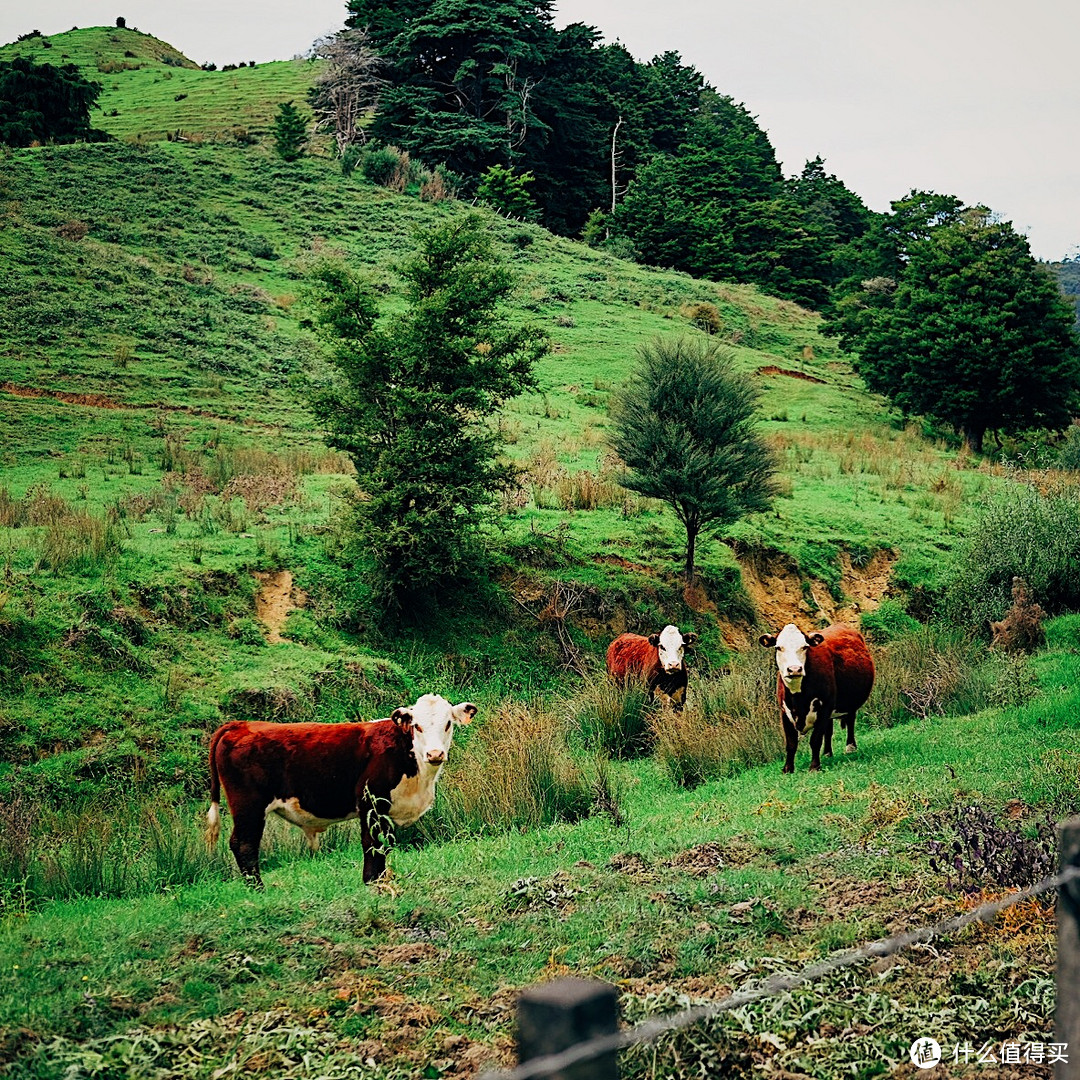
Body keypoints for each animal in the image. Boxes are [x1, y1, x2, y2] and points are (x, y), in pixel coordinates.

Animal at [206, 695, 477, 889]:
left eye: (448, 724)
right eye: (417, 726)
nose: (435, 753)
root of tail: (240, 725)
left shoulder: (388, 810)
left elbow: (386, 843)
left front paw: (382, 879)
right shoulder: (371, 802)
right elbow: (372, 842)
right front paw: (372, 881)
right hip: (249, 806)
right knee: (244, 844)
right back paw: (258, 888)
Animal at [756, 626, 872, 777]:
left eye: (804, 647)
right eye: (778, 647)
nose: (794, 669)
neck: (798, 698)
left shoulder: (825, 708)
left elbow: (815, 740)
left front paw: (814, 766)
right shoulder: (784, 712)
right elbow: (791, 743)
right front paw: (787, 768)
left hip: (850, 703)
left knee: (850, 721)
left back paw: (850, 747)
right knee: (829, 730)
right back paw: (827, 753)